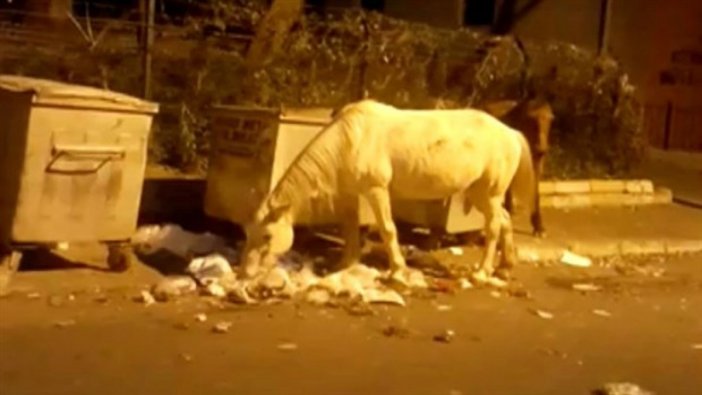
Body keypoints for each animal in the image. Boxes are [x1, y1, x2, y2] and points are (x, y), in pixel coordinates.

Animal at [239, 99, 536, 284]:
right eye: (248, 233)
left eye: (267, 236)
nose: (245, 273)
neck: (351, 139)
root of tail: (511, 132)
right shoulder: (352, 194)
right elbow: (349, 227)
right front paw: (347, 264)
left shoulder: (376, 190)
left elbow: (387, 228)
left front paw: (397, 271)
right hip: (478, 193)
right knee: (504, 220)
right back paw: (505, 267)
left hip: (489, 193)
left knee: (494, 226)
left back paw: (482, 273)